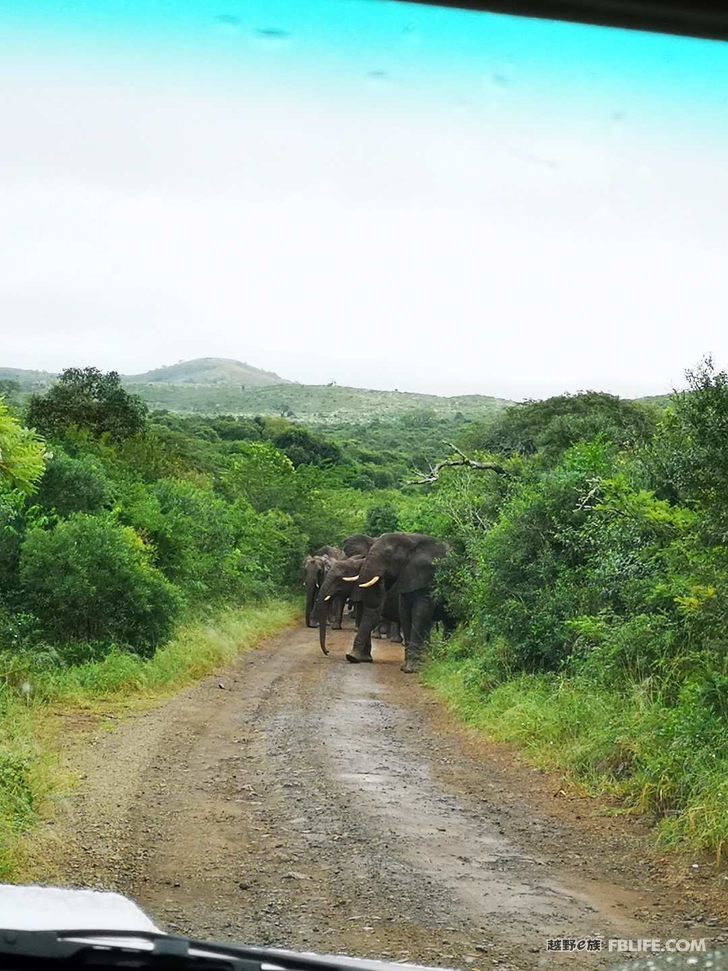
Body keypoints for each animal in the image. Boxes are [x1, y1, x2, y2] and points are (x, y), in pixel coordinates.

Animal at [342, 532, 450, 676]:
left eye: (388, 555)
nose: (349, 657)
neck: (410, 539)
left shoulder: (427, 578)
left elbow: (419, 614)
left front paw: (411, 669)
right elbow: (405, 614)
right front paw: (406, 668)